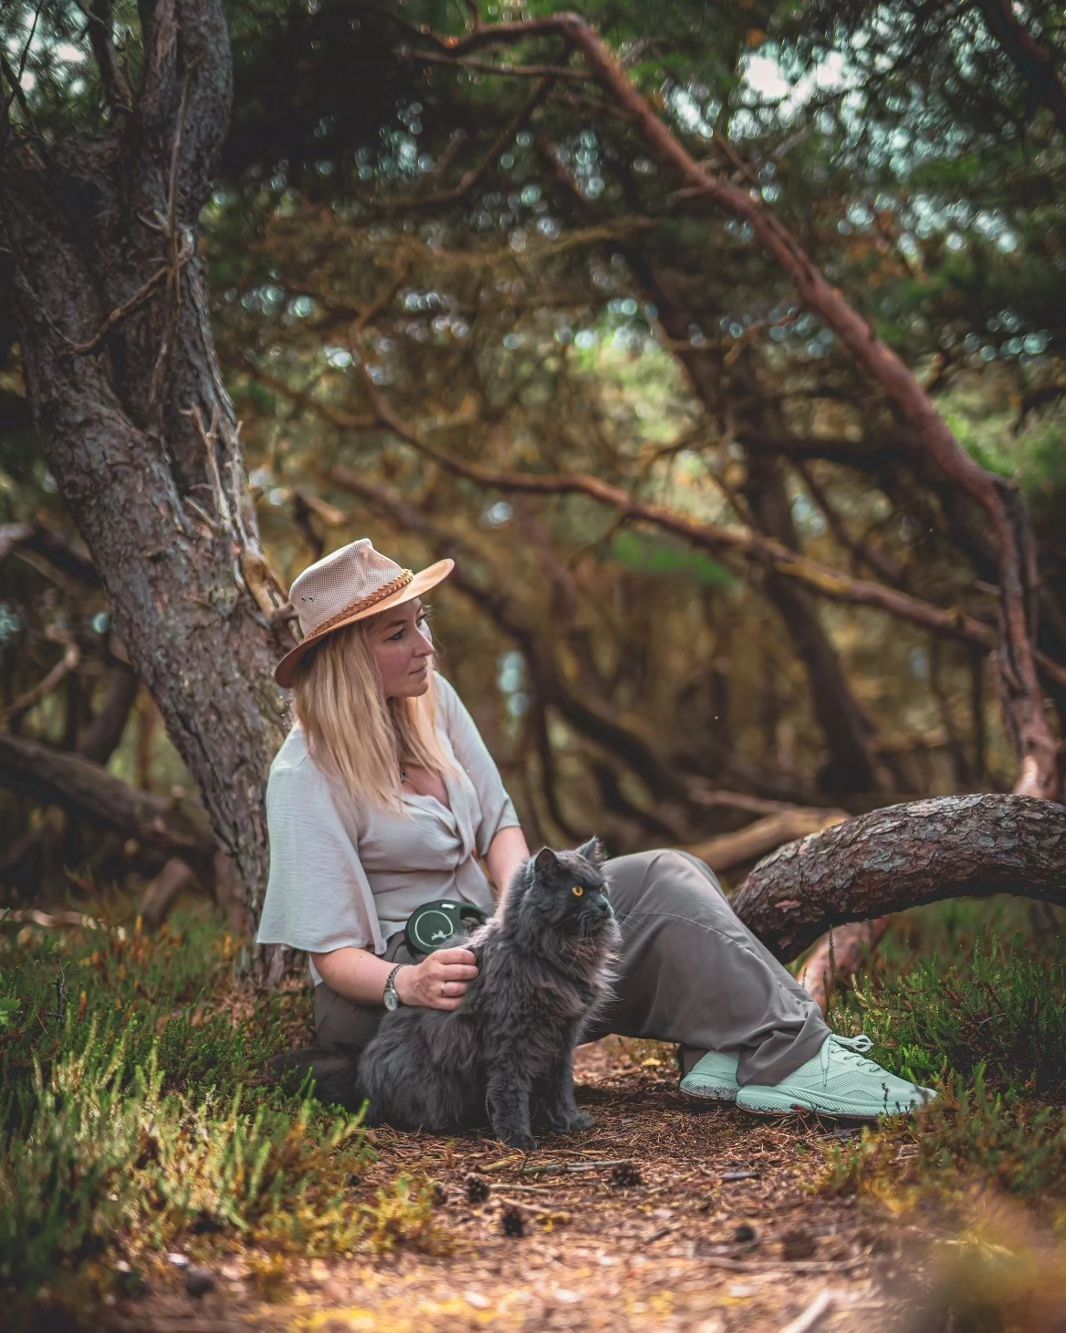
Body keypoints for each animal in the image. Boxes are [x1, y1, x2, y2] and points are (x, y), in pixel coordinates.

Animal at [357, 837, 620, 1151]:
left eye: (602, 889)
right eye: (577, 890)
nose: (605, 906)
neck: (550, 955)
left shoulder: (563, 1036)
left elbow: (561, 1085)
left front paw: (569, 1121)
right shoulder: (511, 1037)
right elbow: (509, 1089)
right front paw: (517, 1137)